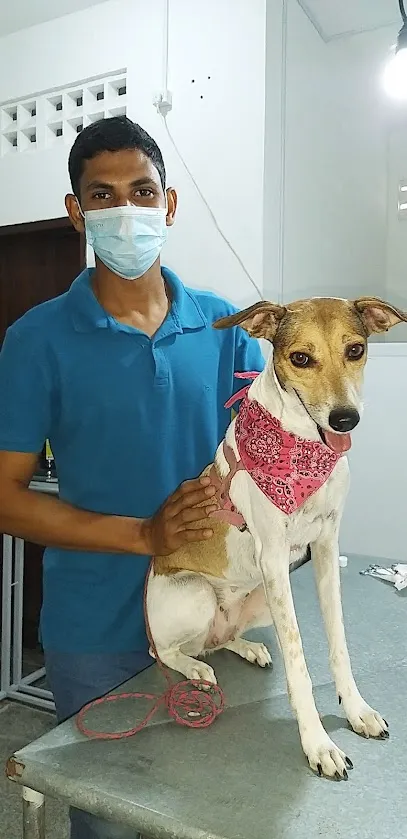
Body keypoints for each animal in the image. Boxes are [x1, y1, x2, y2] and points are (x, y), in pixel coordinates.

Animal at [146, 296, 404, 780]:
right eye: (300, 358)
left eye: (356, 350)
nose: (346, 419)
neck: (303, 449)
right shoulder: (273, 557)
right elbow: (298, 661)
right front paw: (318, 744)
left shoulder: (324, 547)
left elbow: (339, 642)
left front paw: (356, 710)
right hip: (198, 594)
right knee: (166, 652)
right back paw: (194, 670)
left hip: (261, 599)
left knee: (219, 639)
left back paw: (246, 648)